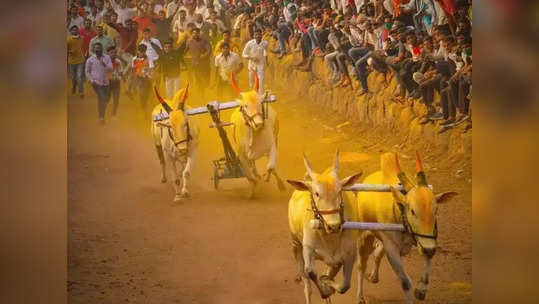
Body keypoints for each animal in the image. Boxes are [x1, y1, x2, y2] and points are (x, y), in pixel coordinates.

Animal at [286, 150, 362, 304]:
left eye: (339, 191)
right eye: (316, 194)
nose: (334, 226)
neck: (329, 237)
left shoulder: (349, 253)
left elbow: (344, 285)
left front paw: (327, 283)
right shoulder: (307, 248)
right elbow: (311, 272)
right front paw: (325, 289)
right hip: (295, 244)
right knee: (307, 284)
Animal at [356, 153, 458, 302]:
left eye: (436, 210)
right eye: (413, 211)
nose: (429, 249)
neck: (399, 210)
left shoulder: (426, 239)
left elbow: (427, 261)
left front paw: (421, 290)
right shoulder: (391, 247)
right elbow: (405, 282)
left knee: (377, 253)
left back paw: (374, 277)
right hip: (364, 236)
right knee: (361, 265)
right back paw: (360, 297)